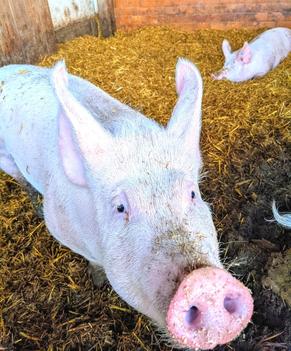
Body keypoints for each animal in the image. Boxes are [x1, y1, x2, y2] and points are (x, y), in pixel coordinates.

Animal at [0, 59, 254, 350]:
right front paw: (98, 279)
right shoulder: (58, 225)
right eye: (121, 208)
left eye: (191, 194)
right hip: (6, 158)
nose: (205, 281)